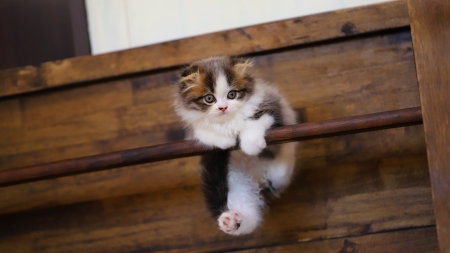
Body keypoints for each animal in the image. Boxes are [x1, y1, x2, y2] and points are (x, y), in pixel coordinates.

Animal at [174, 55, 298, 235]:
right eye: (209, 98)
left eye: (231, 94)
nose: (223, 107)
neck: (230, 120)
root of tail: (259, 180)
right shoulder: (194, 128)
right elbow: (204, 131)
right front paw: (225, 140)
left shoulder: (272, 106)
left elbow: (256, 119)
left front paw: (250, 143)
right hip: (236, 184)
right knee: (248, 217)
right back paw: (231, 221)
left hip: (279, 168)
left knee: (283, 163)